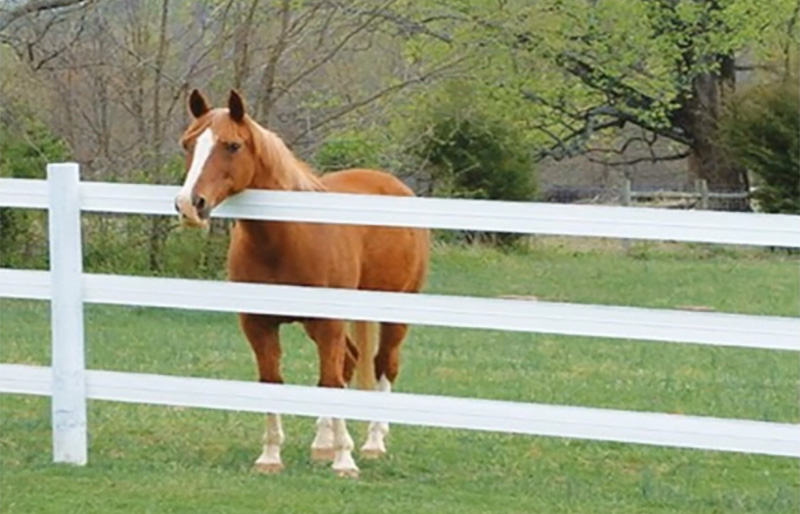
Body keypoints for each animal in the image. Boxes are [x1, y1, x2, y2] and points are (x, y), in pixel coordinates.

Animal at [172, 89, 428, 476]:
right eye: (188, 144)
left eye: (232, 145)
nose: (190, 204)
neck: (288, 237)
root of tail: (393, 184)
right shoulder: (258, 324)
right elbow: (274, 381)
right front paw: (270, 457)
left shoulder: (329, 322)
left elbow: (331, 382)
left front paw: (344, 461)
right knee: (349, 362)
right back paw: (322, 442)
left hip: (394, 311)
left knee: (384, 364)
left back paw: (373, 442)